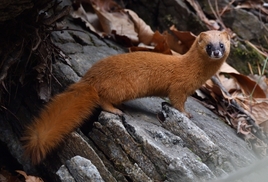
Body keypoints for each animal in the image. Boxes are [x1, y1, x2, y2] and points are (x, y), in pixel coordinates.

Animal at [21, 30, 230, 164]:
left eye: (222, 45)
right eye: (209, 46)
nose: (216, 52)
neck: (195, 73)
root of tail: (90, 78)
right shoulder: (179, 87)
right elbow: (177, 100)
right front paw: (186, 114)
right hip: (121, 87)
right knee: (102, 99)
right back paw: (116, 109)